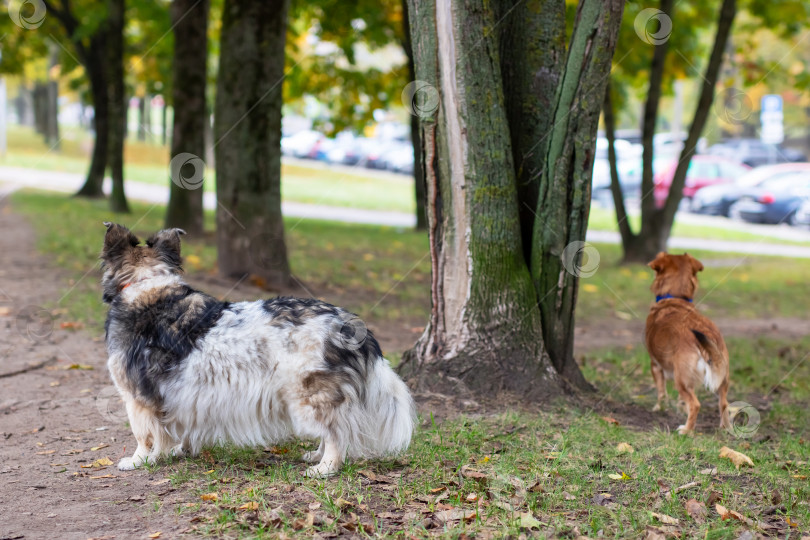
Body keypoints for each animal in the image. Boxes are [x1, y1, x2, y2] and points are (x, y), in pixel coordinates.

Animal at [101, 224, 414, 476]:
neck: (146, 285)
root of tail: (351, 325)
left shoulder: (137, 398)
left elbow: (143, 436)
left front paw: (138, 460)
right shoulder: (185, 395)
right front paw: (178, 451)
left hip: (308, 394)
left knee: (337, 432)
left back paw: (325, 468)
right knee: (331, 430)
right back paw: (316, 456)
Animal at [644, 253, 732, 434]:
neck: (675, 298)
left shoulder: (655, 365)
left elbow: (661, 393)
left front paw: (659, 408)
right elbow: (680, 401)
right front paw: (680, 409)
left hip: (681, 379)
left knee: (696, 404)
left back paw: (686, 430)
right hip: (722, 377)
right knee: (724, 403)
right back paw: (725, 427)